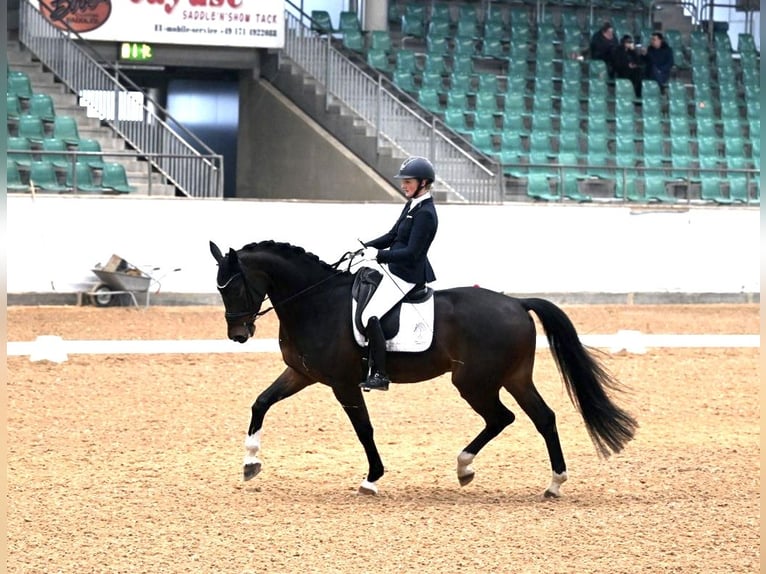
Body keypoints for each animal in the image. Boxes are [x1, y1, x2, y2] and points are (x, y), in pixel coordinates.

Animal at [212, 241, 640, 498]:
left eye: (233, 287)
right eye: (220, 288)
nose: (238, 335)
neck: (316, 302)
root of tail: (517, 303)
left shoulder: (343, 383)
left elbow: (364, 429)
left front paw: (372, 478)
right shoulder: (303, 374)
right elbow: (260, 403)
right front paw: (250, 463)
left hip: (474, 382)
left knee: (503, 418)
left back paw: (468, 467)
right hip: (513, 377)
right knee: (542, 418)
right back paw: (550, 482)